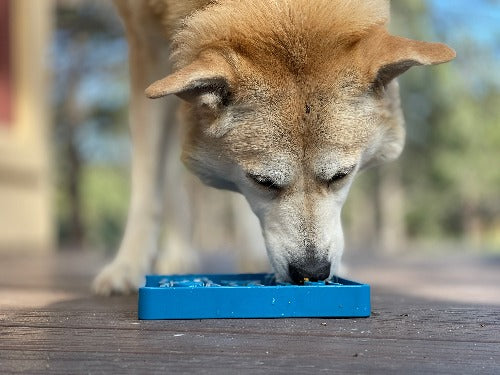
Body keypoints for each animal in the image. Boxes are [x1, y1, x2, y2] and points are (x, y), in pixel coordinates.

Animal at [92, 0, 456, 296]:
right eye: (263, 182)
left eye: (341, 175)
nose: (312, 272)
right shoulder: (145, 43)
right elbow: (148, 182)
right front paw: (128, 266)